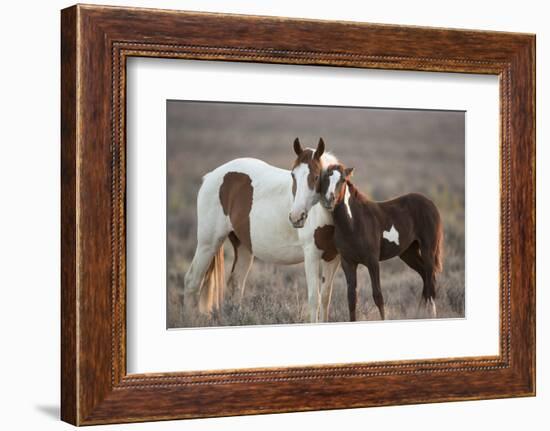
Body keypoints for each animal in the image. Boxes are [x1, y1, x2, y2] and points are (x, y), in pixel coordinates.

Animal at [183, 139, 342, 324]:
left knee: (235, 286)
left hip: (243, 247)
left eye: (316, 176)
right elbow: (314, 298)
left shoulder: (333, 257)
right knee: (192, 282)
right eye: (293, 175)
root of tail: (211, 176)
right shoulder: (311, 255)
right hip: (207, 244)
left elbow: (325, 298)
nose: (296, 217)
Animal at [322, 165, 446, 320]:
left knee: (431, 283)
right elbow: (351, 298)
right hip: (408, 252)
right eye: (325, 178)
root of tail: (430, 202)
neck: (354, 223)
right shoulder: (348, 263)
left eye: (343, 179)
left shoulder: (372, 261)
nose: (329, 200)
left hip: (428, 250)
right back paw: (419, 314)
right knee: (424, 276)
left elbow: (378, 296)